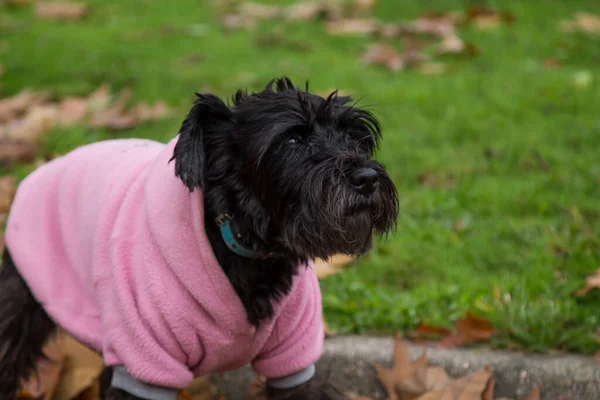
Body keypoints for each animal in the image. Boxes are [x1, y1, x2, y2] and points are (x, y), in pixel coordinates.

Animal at [1, 76, 398, 398]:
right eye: (293, 138)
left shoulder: (293, 357)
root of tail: (45, 167)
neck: (250, 251)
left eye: (356, 136)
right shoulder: (147, 360)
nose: (366, 177)